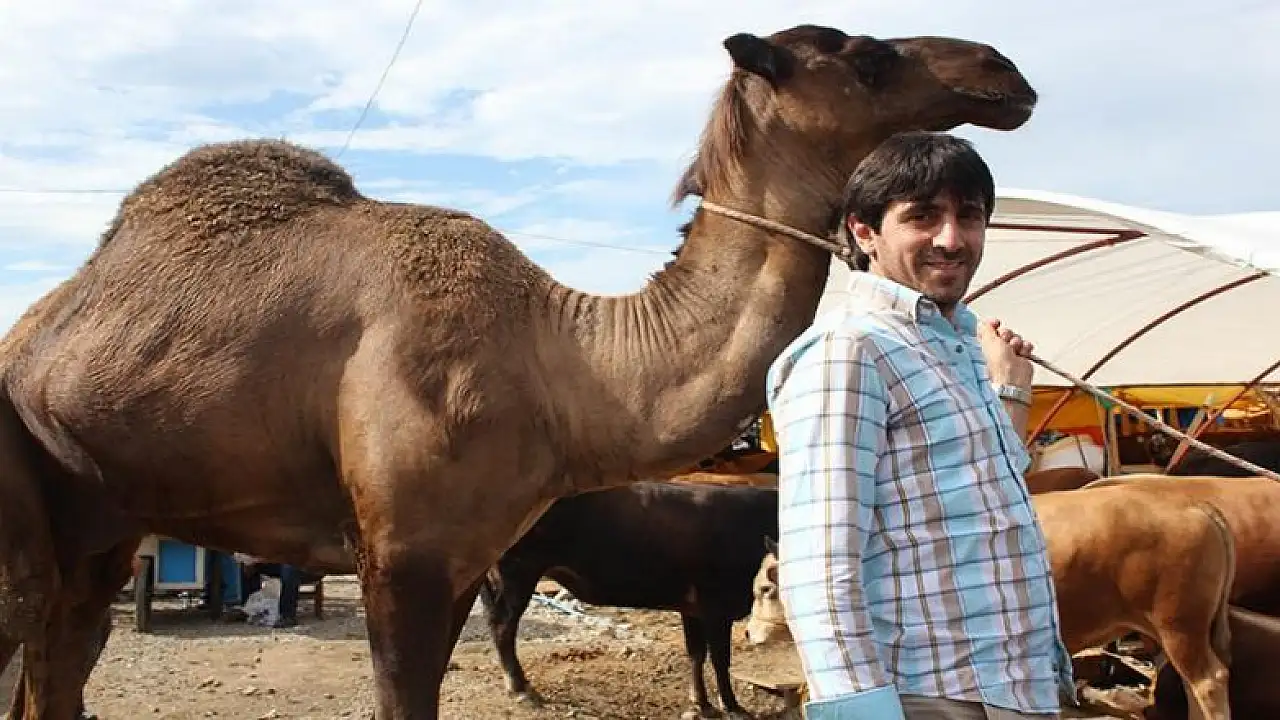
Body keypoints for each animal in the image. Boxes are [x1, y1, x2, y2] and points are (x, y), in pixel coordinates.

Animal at [477, 480, 778, 720]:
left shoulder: (694, 608)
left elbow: (696, 653)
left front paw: (701, 703)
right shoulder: (717, 607)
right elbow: (720, 659)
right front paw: (731, 705)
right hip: (518, 574)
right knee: (503, 627)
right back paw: (519, 687)